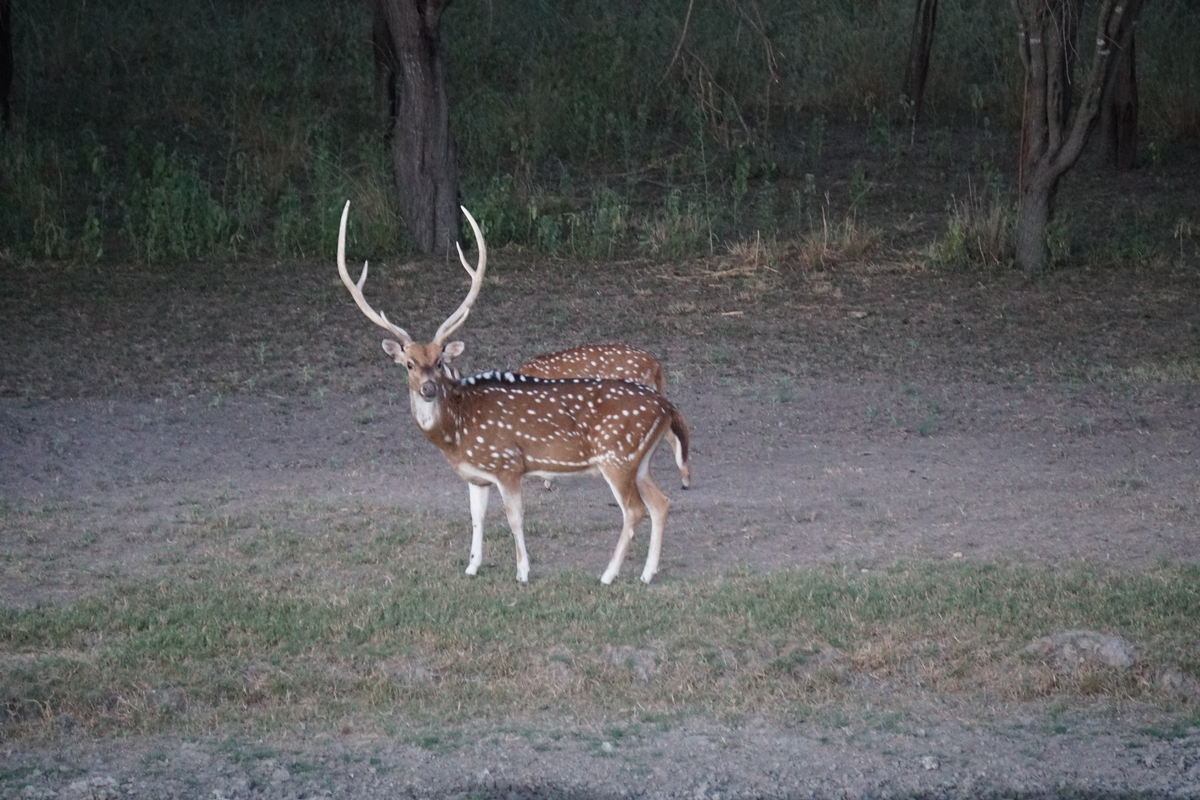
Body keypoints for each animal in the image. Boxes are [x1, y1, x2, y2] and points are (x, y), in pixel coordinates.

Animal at [336, 201, 689, 584]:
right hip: (640, 460)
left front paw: (522, 571)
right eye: (409, 365)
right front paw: (472, 565)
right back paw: (647, 573)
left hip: (617, 456)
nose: (429, 388)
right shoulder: (477, 476)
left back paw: (608, 574)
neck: (456, 433)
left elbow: (514, 517)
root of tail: (667, 406)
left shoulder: (507, 463)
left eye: (439, 360)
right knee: (661, 503)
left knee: (635, 510)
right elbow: (476, 517)